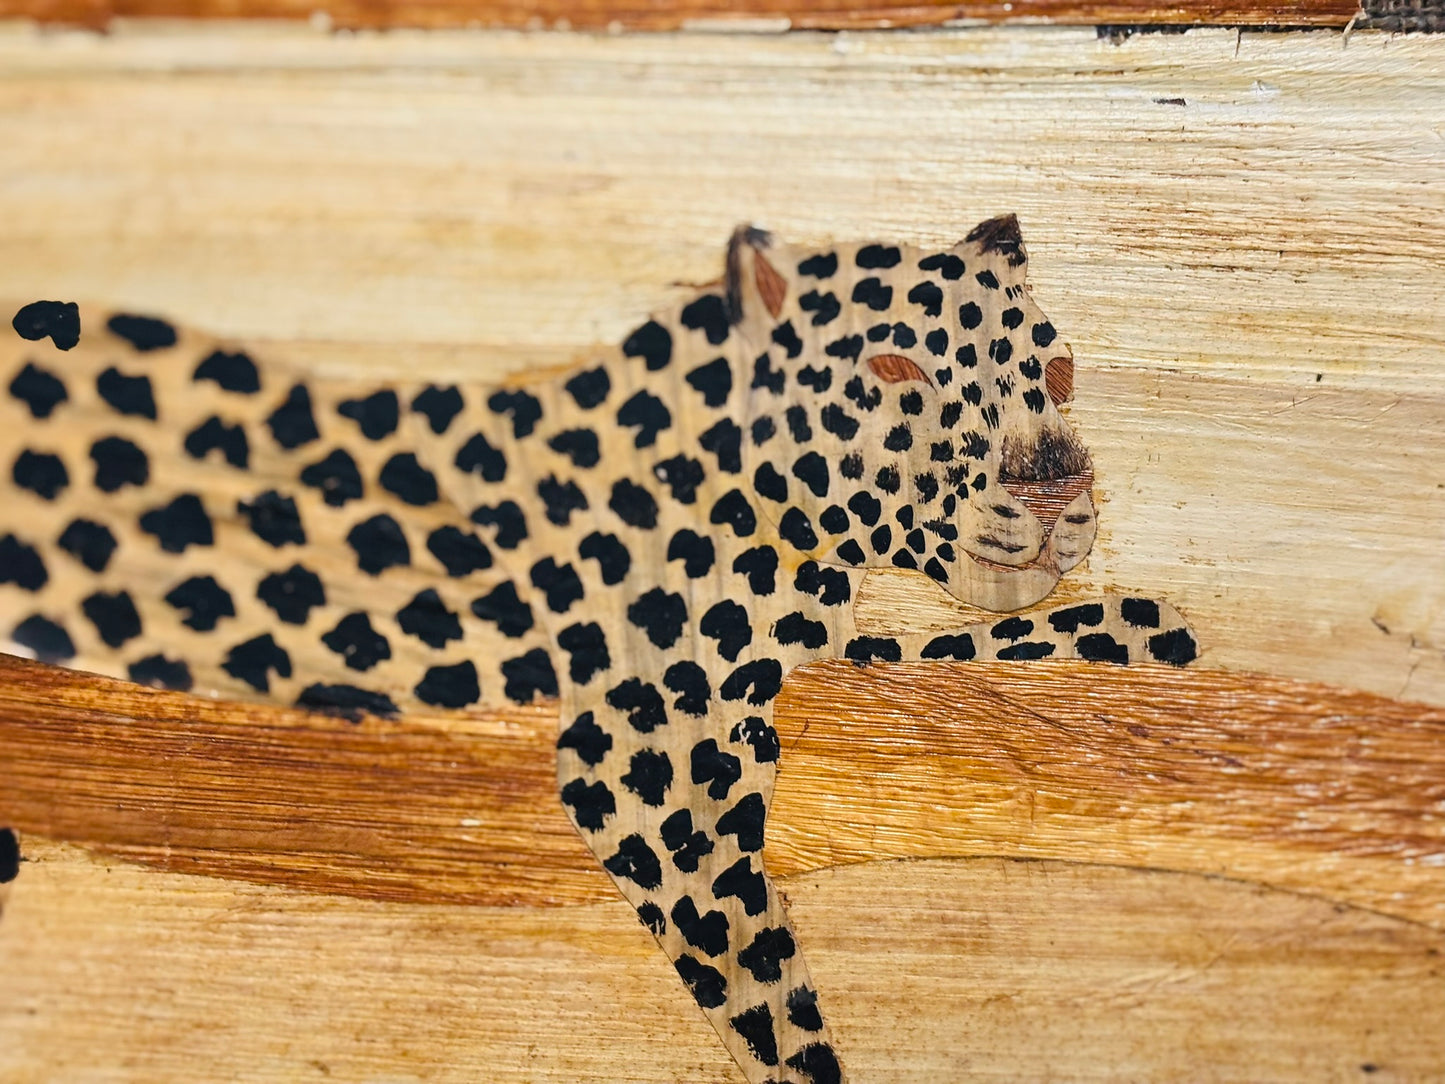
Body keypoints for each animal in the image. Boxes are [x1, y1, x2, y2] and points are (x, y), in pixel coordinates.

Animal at [0, 214, 1197, 1084]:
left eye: (1058, 374)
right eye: (897, 367)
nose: (1057, 486)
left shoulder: (806, 661)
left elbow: (971, 648)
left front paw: (1142, 628)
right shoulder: (650, 756)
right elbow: (763, 982)